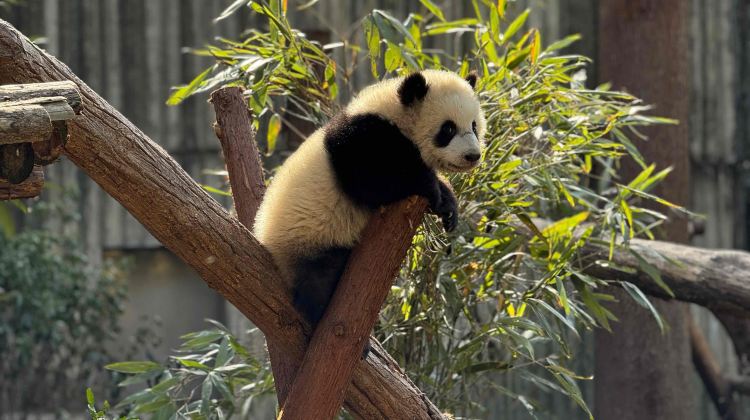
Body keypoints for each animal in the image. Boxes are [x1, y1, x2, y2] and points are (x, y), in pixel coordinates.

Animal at [254, 69, 486, 327]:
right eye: (448, 129)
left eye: (474, 126)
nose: (472, 156)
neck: (395, 116)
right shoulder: (364, 140)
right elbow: (370, 182)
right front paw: (432, 191)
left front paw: (449, 207)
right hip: (308, 241)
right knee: (318, 283)